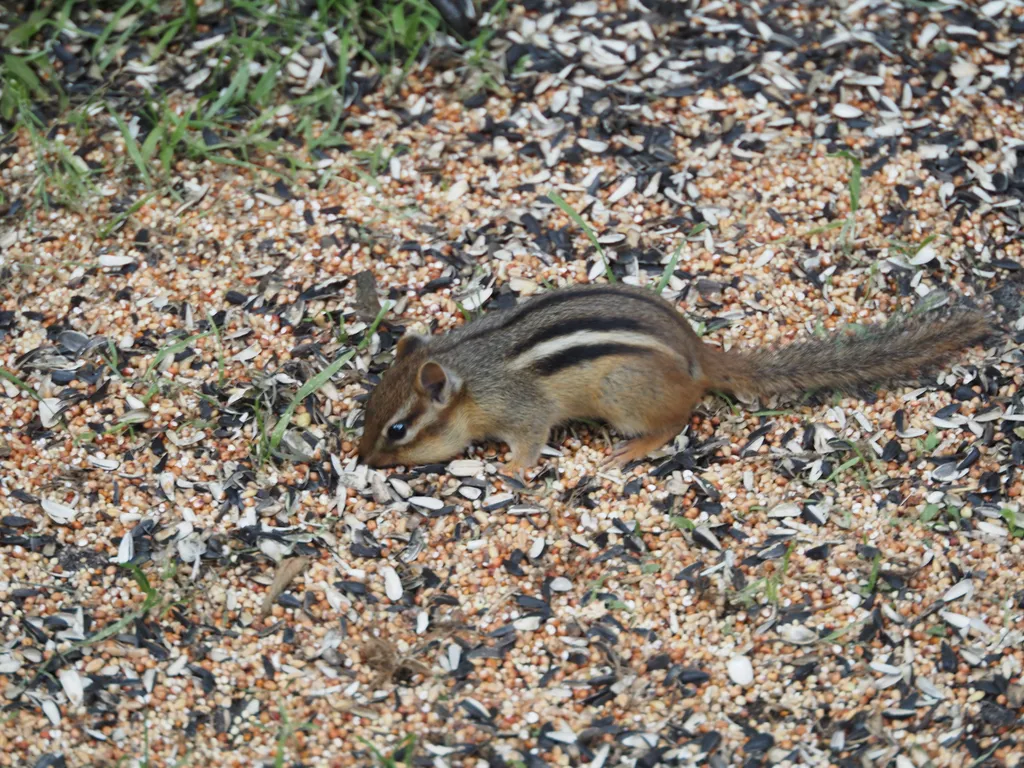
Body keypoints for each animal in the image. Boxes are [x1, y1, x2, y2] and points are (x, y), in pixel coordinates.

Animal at [358, 283, 992, 474]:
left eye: (396, 431)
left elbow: (531, 442)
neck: (469, 373)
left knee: (674, 420)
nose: (362, 460)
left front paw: (511, 470)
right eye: (366, 413)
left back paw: (633, 449)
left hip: (623, 396)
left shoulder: (523, 410)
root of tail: (697, 356)